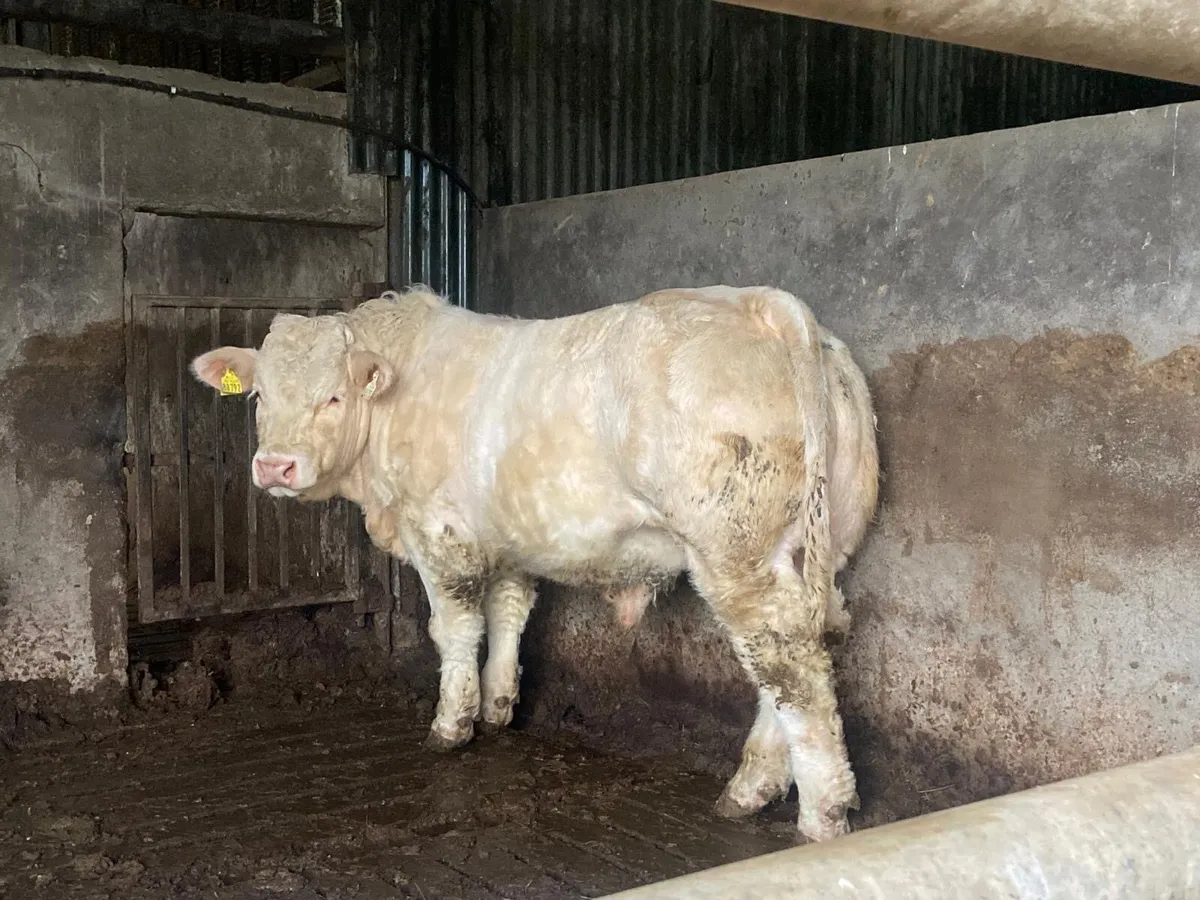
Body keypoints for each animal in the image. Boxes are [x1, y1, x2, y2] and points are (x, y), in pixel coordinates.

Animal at [191, 284, 879, 843]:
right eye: (259, 394)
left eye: (333, 397)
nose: (275, 466)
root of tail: (764, 305)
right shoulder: (510, 534)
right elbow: (509, 611)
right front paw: (498, 705)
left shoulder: (438, 531)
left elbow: (455, 628)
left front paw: (453, 723)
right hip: (818, 547)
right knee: (801, 651)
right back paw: (752, 787)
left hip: (734, 549)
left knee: (786, 664)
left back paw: (820, 816)